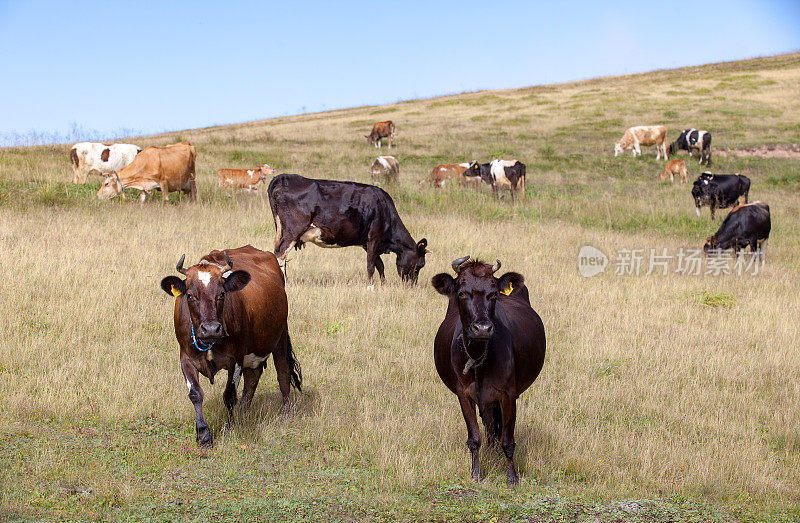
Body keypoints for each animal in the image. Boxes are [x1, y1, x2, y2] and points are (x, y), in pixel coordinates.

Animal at [159, 246, 300, 446]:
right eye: (190, 295)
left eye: (222, 294)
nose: (211, 329)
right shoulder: (186, 357)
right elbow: (195, 393)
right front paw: (203, 435)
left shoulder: (236, 358)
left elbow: (229, 395)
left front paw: (229, 427)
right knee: (253, 376)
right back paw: (243, 411)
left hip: (279, 337)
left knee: (283, 374)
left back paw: (286, 414)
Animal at [268, 174, 432, 284]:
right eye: (419, 265)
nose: (412, 285)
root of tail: (285, 177)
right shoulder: (374, 237)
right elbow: (371, 265)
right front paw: (371, 287)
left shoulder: (367, 242)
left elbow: (379, 265)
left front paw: (383, 285)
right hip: (293, 230)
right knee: (281, 253)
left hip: (282, 230)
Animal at [434, 258, 548, 488]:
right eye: (462, 292)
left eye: (493, 293)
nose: (482, 328)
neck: (480, 358)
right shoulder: (463, 393)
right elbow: (474, 437)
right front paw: (476, 473)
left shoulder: (508, 394)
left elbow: (508, 439)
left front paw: (512, 477)